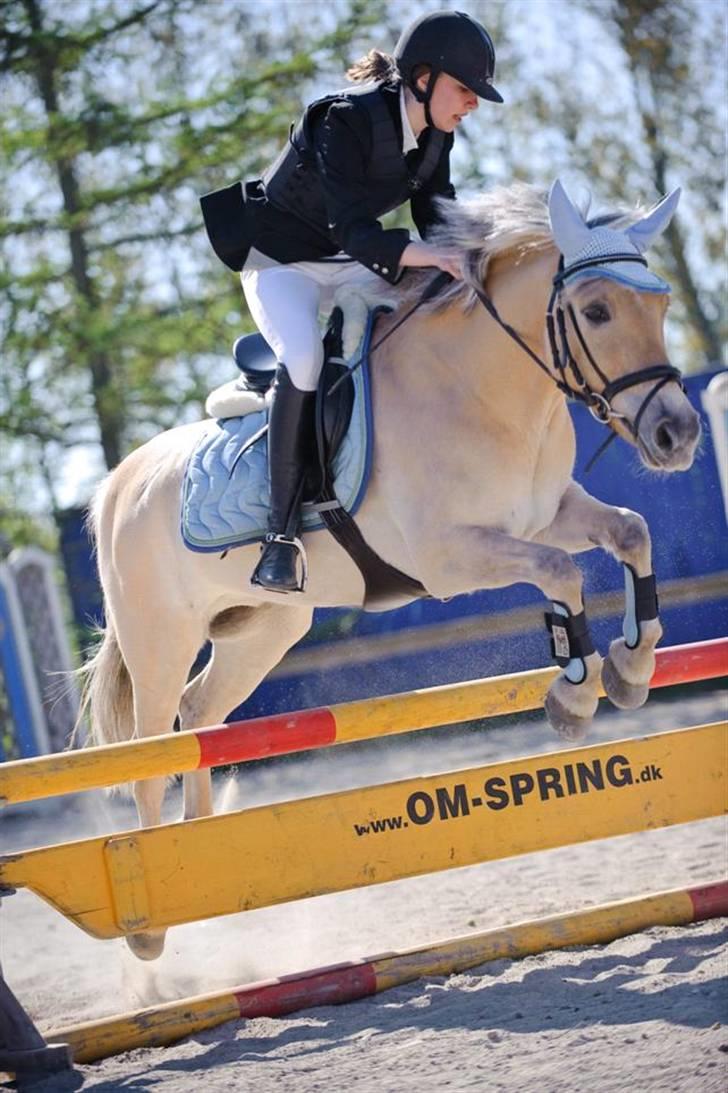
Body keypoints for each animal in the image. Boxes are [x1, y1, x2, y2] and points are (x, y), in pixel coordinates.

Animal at [79, 179, 699, 957]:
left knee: (199, 715)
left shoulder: (548, 513)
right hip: (158, 639)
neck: (485, 388)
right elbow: (561, 574)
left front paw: (633, 667)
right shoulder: (451, 556)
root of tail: (117, 482)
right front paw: (575, 697)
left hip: (264, 628)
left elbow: (630, 532)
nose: (679, 435)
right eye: (596, 310)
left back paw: (200, 853)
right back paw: (152, 928)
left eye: (663, 305)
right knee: (150, 748)